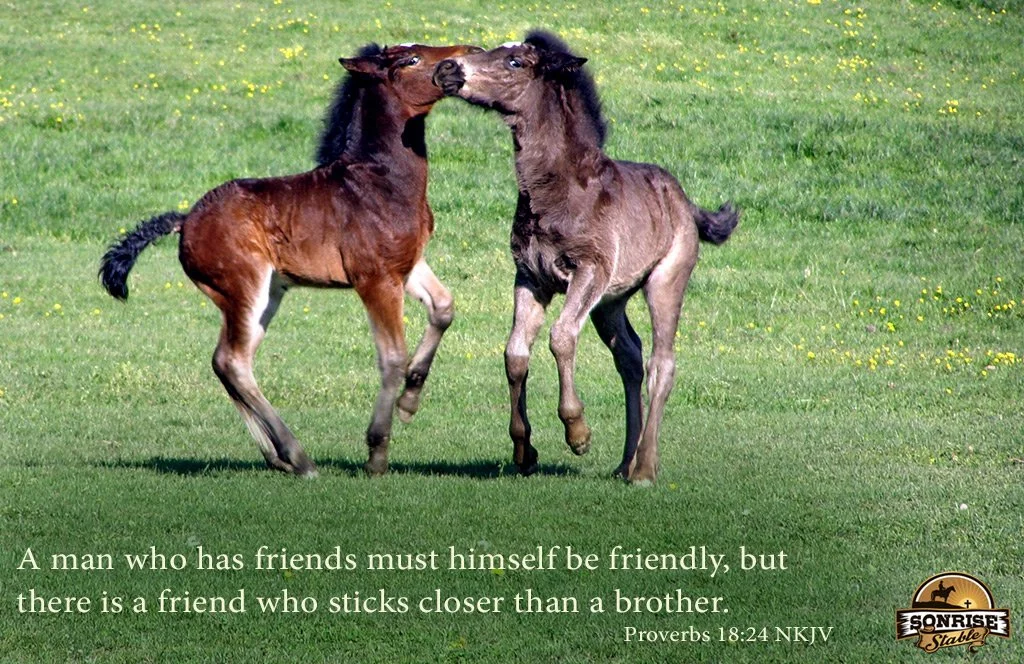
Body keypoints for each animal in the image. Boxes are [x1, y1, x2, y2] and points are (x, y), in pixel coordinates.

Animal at [100, 42, 482, 477]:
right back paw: (298, 457)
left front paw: (409, 402)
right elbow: (392, 358)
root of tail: (185, 220)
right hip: (244, 289)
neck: (379, 181)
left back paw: (278, 456)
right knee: (233, 361)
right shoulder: (376, 279)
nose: (466, 55)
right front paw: (377, 454)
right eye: (411, 59)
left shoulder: (408, 265)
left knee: (227, 362)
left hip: (266, 294)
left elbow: (444, 308)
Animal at [433, 31, 738, 484]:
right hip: (610, 302)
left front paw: (577, 432)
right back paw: (625, 464)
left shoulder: (589, 270)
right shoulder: (530, 277)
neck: (555, 190)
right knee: (630, 357)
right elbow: (515, 352)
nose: (447, 69)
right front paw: (524, 451)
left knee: (661, 364)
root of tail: (687, 203)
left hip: (665, 280)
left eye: (515, 63)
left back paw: (644, 468)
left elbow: (561, 338)